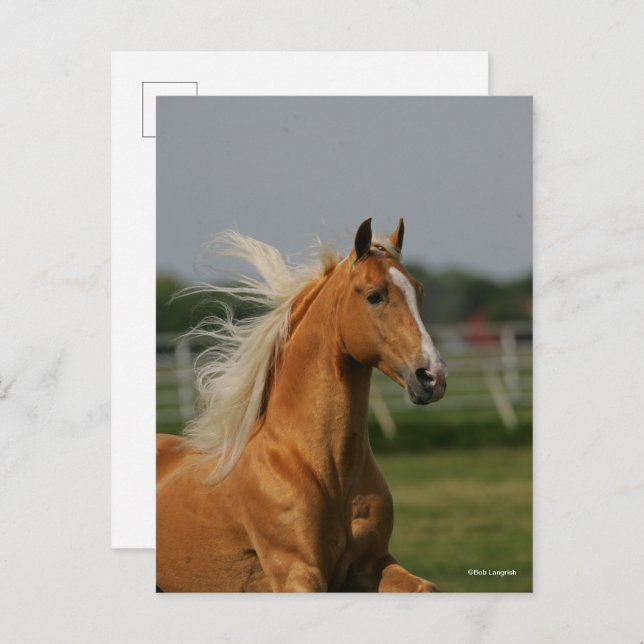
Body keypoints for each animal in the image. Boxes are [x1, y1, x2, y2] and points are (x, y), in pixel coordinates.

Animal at [156, 218, 448, 592]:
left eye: (419, 292)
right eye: (374, 296)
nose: (433, 377)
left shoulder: (372, 563)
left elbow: (427, 586)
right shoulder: (298, 573)